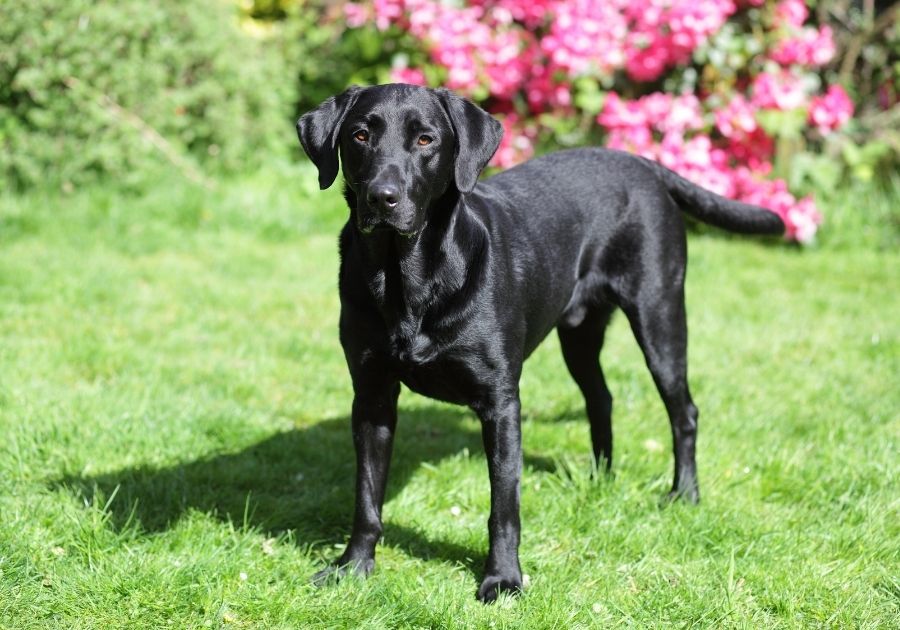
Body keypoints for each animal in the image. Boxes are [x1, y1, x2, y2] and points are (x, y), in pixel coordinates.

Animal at [296, 82, 780, 604]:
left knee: (683, 411)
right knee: (601, 398)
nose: (382, 197)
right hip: (580, 334)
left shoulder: (500, 402)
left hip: (660, 315)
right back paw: (600, 477)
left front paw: (503, 579)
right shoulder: (372, 396)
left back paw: (684, 495)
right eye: (360, 135)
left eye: (425, 140)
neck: (408, 278)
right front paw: (353, 567)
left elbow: (504, 504)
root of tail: (642, 163)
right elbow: (367, 496)